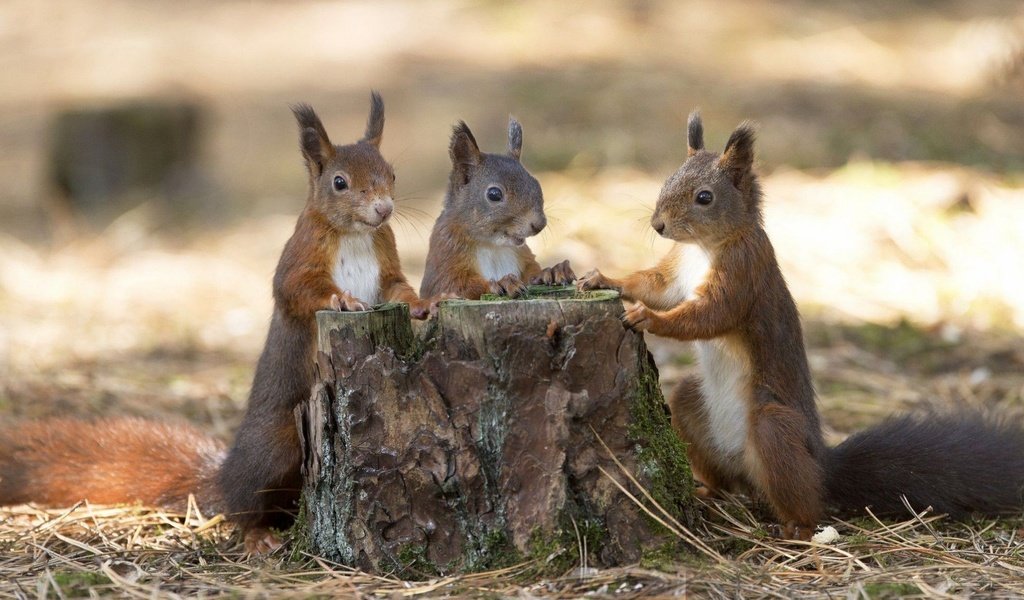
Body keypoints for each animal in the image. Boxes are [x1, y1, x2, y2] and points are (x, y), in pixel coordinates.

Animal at [0, 92, 432, 552]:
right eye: (339, 182)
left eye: (391, 173)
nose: (384, 209)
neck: (354, 234)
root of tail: (224, 476)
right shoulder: (298, 259)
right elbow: (296, 290)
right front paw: (344, 299)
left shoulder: (386, 262)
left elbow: (398, 289)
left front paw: (424, 305)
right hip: (276, 447)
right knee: (242, 508)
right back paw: (258, 535)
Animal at [417, 117, 577, 298]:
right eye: (494, 194)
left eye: (536, 183)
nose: (539, 224)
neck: (493, 246)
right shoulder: (444, 256)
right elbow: (452, 286)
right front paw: (502, 283)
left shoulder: (523, 256)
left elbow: (532, 273)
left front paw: (552, 271)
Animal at [581, 111, 1024, 536]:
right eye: (668, 179)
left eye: (704, 197)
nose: (658, 225)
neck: (703, 249)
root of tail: (822, 466)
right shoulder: (675, 273)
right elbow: (653, 285)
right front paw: (604, 279)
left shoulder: (743, 274)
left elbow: (707, 316)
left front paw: (647, 317)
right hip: (693, 405)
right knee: (721, 469)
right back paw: (708, 491)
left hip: (774, 429)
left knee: (805, 499)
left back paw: (796, 527)